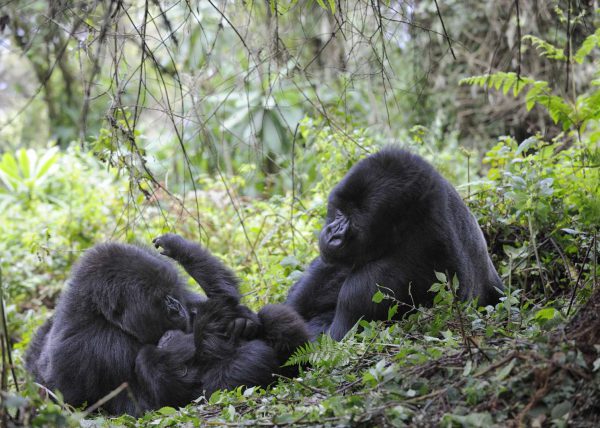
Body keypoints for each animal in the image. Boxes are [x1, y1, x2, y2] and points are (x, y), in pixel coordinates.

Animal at [27, 232, 310, 416]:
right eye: (161, 300)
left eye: (170, 292)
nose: (176, 307)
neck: (99, 313)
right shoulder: (91, 347)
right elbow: (162, 399)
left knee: (275, 317)